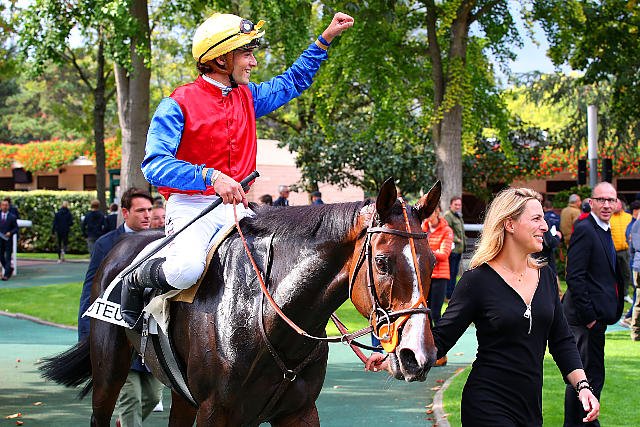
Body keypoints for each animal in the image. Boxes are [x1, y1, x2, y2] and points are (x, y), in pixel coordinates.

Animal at [40, 178, 441, 426]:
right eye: (383, 261)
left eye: (432, 261)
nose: (418, 355)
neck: (264, 318)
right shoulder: (216, 411)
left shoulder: (299, 411)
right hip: (109, 370)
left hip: (183, 396)